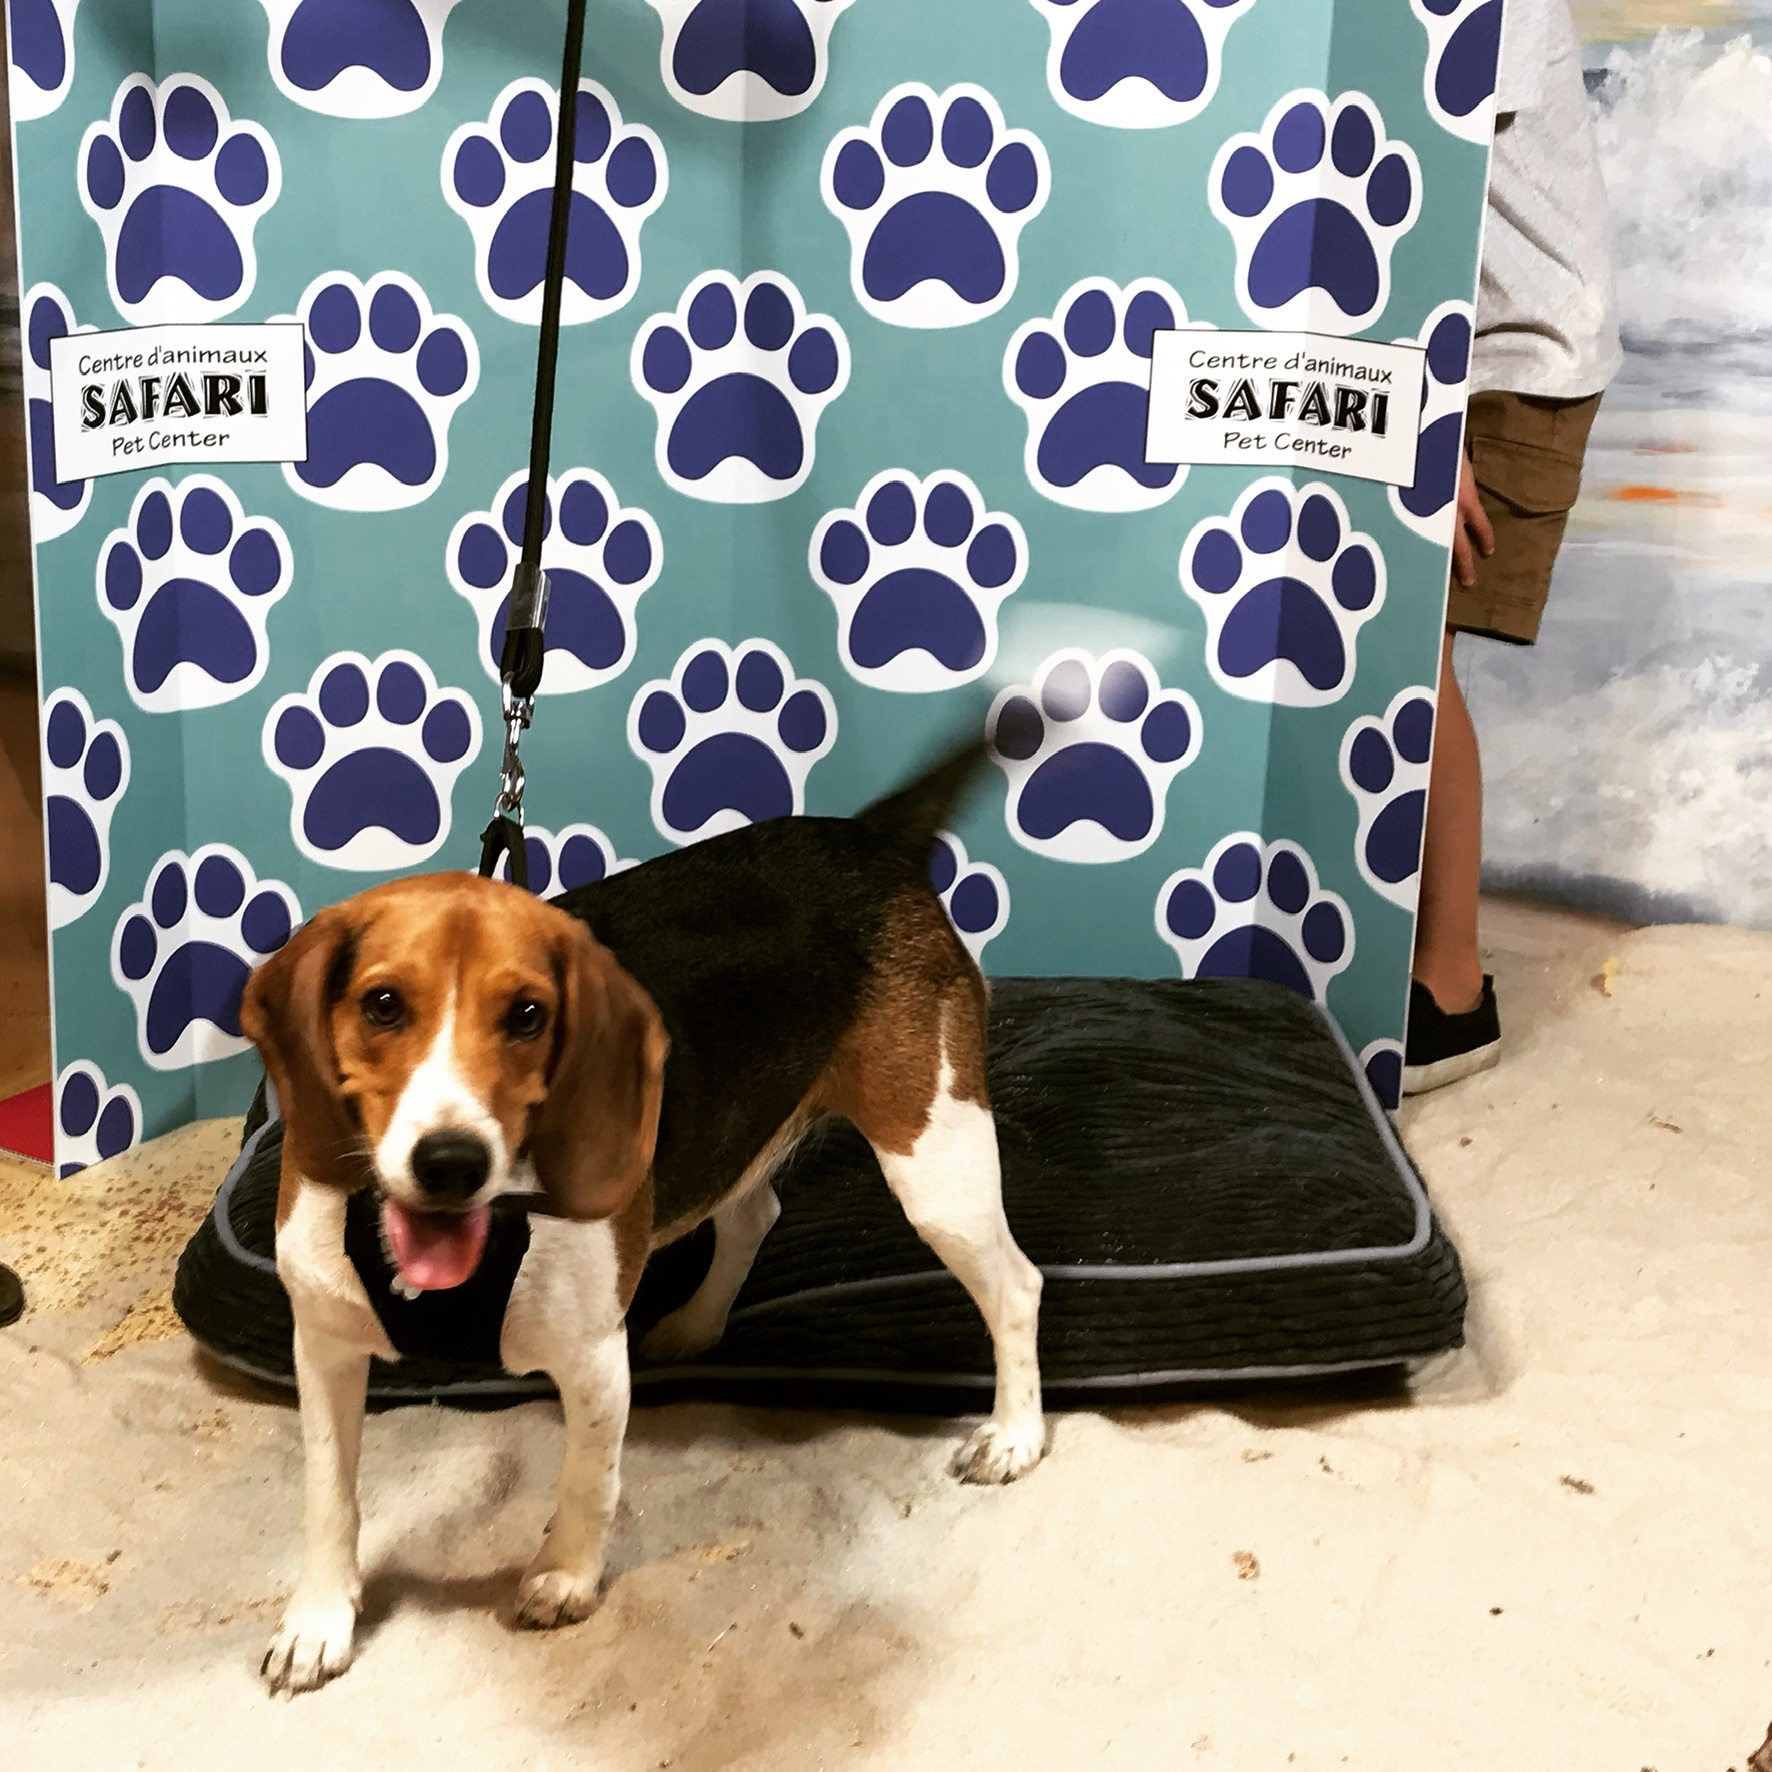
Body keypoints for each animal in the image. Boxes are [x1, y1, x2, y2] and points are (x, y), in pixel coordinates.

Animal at [241, 744, 1046, 1694]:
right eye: (382, 1005)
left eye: (527, 1016)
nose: (451, 1161)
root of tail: (869, 835)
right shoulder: (324, 1343)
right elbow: (330, 1498)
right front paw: (319, 1621)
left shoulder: (591, 1357)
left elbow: (587, 1481)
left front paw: (565, 1577)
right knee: (755, 1212)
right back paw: (697, 1325)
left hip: (937, 1161)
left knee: (1016, 1288)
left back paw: (1014, 1435)